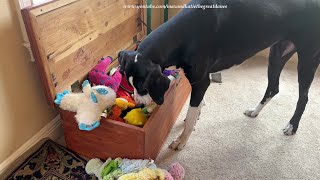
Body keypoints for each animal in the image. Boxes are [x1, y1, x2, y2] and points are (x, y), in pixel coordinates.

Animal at [119, 0, 320, 150]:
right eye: (130, 85)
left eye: (144, 88)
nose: (138, 104)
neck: (184, 34)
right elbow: (197, 107)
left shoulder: (201, 83)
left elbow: (191, 114)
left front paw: (182, 140)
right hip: (277, 53)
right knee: (273, 87)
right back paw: (255, 111)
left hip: (307, 59)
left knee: (303, 98)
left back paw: (292, 126)